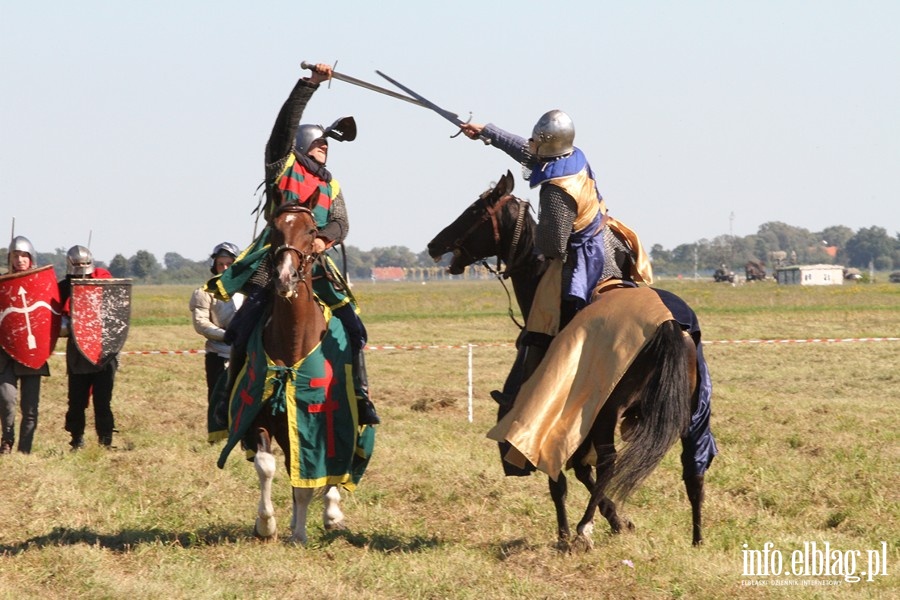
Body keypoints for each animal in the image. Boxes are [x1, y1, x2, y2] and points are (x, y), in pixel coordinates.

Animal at [218, 197, 372, 544]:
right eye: (274, 229)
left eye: (312, 230)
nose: (285, 277)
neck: (293, 341)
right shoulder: (257, 416)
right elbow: (266, 466)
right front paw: (266, 524)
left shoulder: (316, 420)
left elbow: (310, 478)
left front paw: (301, 533)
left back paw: (329, 514)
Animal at [428, 171, 716, 552]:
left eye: (475, 210)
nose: (434, 244)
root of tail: (667, 325)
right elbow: (581, 469)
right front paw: (620, 521)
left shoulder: (558, 409)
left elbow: (562, 478)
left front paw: (572, 531)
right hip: (691, 407)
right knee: (691, 463)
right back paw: (697, 537)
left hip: (610, 408)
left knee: (609, 462)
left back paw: (583, 528)